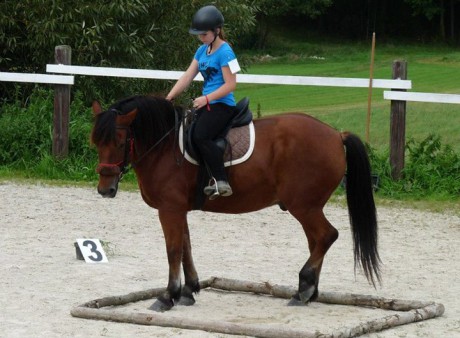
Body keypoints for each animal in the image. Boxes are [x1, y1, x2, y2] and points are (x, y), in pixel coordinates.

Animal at [90, 94, 380, 312]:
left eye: (119, 142)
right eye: (96, 142)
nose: (105, 189)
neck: (165, 146)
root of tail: (335, 135)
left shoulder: (169, 209)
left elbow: (173, 250)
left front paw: (168, 295)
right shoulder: (179, 209)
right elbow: (185, 247)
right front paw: (189, 291)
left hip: (304, 206)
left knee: (327, 236)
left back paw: (304, 286)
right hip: (309, 207)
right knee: (317, 241)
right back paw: (307, 292)